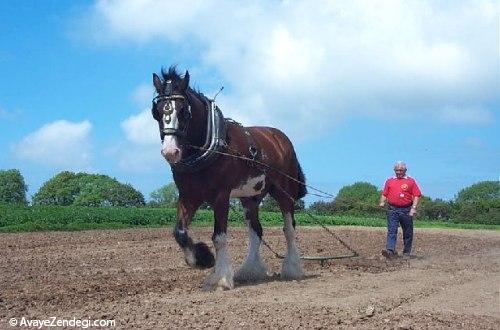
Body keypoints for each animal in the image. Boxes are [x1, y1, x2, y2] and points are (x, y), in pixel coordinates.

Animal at [151, 67, 308, 292]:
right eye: (156, 112)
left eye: (184, 111)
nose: (170, 152)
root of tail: (281, 139)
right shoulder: (188, 196)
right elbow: (179, 232)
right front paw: (202, 259)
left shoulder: (221, 196)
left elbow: (219, 237)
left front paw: (221, 278)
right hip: (250, 197)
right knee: (256, 231)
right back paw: (250, 270)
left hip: (284, 192)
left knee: (289, 229)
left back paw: (292, 269)